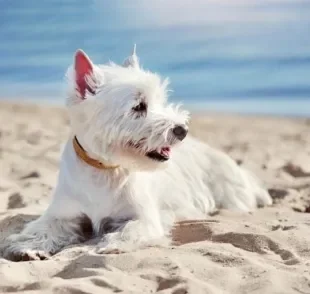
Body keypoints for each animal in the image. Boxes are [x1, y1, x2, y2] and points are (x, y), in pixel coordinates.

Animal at [2, 46, 272, 262]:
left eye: (160, 101)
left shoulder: (144, 216)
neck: (103, 169)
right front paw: (28, 248)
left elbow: (131, 229)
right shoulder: (64, 214)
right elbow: (43, 228)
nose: (182, 130)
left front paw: (111, 245)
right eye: (138, 106)